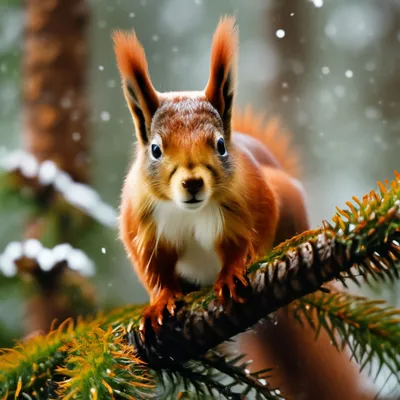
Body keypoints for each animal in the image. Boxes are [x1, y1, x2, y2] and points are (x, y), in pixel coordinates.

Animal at [112, 16, 310, 332]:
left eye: (220, 145)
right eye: (155, 149)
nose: (192, 183)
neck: (189, 213)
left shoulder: (253, 202)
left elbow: (247, 243)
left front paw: (230, 276)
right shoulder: (140, 225)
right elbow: (154, 272)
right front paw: (160, 303)